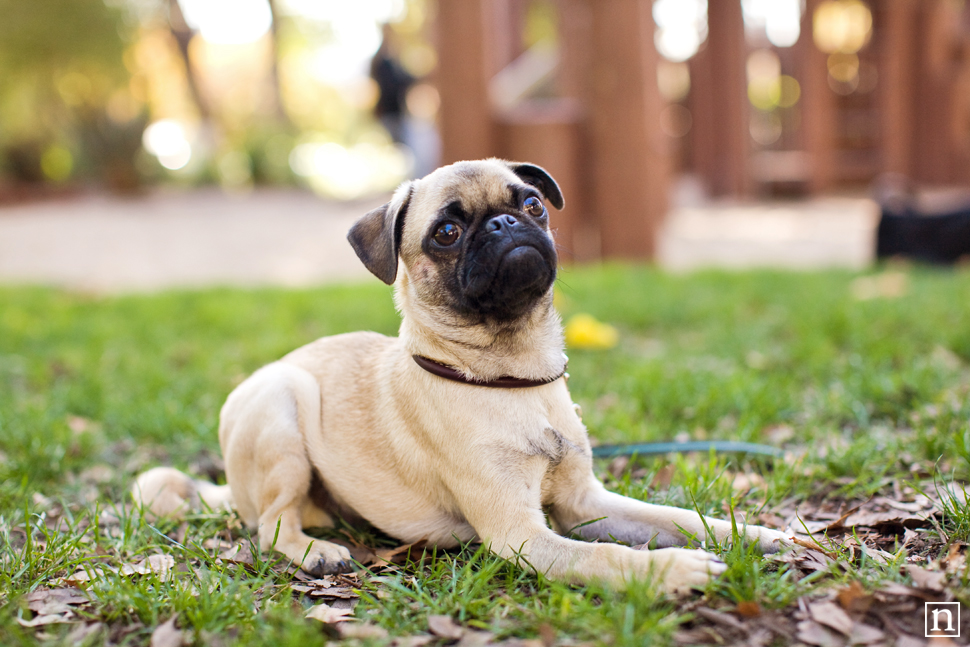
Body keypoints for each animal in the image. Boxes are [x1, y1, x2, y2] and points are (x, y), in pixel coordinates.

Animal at [132, 159, 792, 596]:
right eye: (446, 233)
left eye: (531, 204)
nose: (503, 224)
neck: (514, 378)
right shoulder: (523, 535)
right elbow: (608, 558)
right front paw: (671, 570)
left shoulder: (587, 503)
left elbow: (684, 520)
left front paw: (770, 536)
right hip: (280, 402)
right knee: (270, 523)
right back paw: (316, 552)